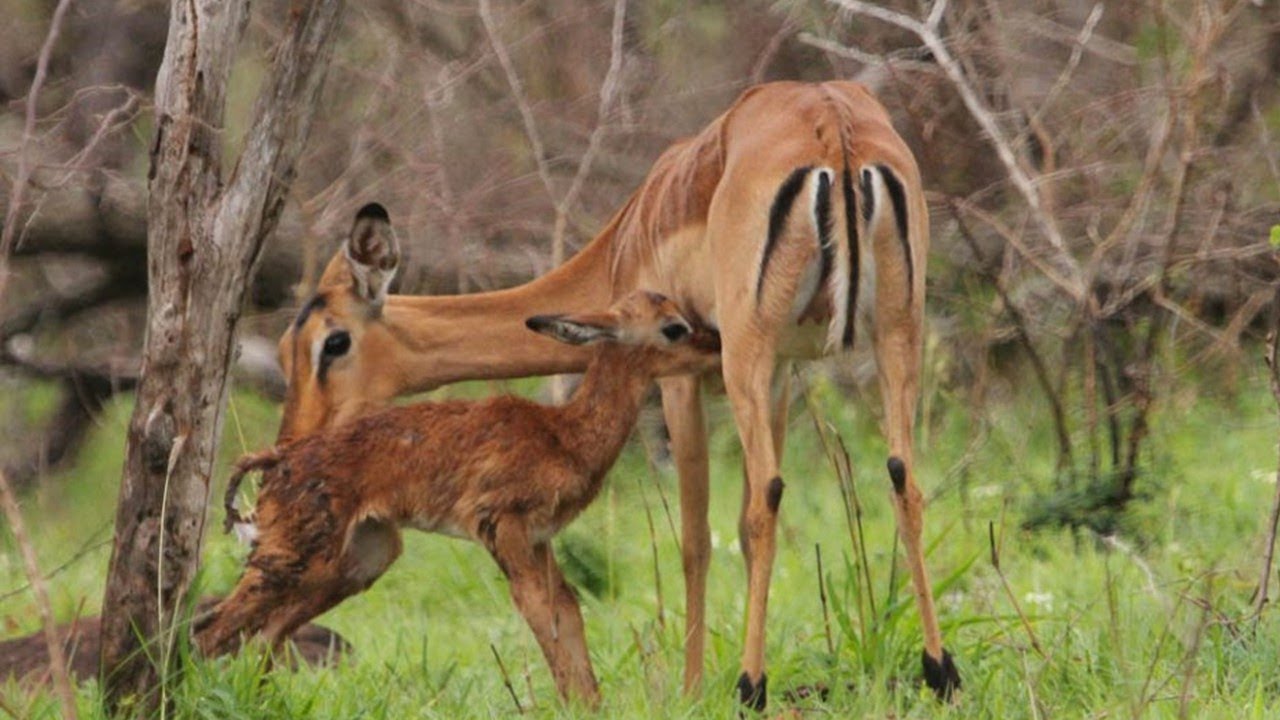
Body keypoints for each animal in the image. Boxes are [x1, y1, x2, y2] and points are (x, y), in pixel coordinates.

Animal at [196, 290, 720, 705]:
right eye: (674, 327)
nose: (717, 344)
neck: (564, 436)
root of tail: (275, 460)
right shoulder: (500, 525)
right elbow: (538, 610)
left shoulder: (539, 539)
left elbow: (566, 610)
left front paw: (591, 704)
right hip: (292, 556)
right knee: (212, 628)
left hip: (358, 560)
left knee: (260, 635)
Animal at [277, 81, 960, 708]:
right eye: (287, 348)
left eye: (332, 343)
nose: (293, 445)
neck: (627, 242)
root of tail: (833, 129)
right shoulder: (784, 373)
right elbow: (734, 532)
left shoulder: (683, 378)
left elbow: (696, 537)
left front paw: (691, 690)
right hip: (896, 332)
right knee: (903, 477)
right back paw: (940, 672)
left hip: (750, 349)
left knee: (769, 494)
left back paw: (751, 687)